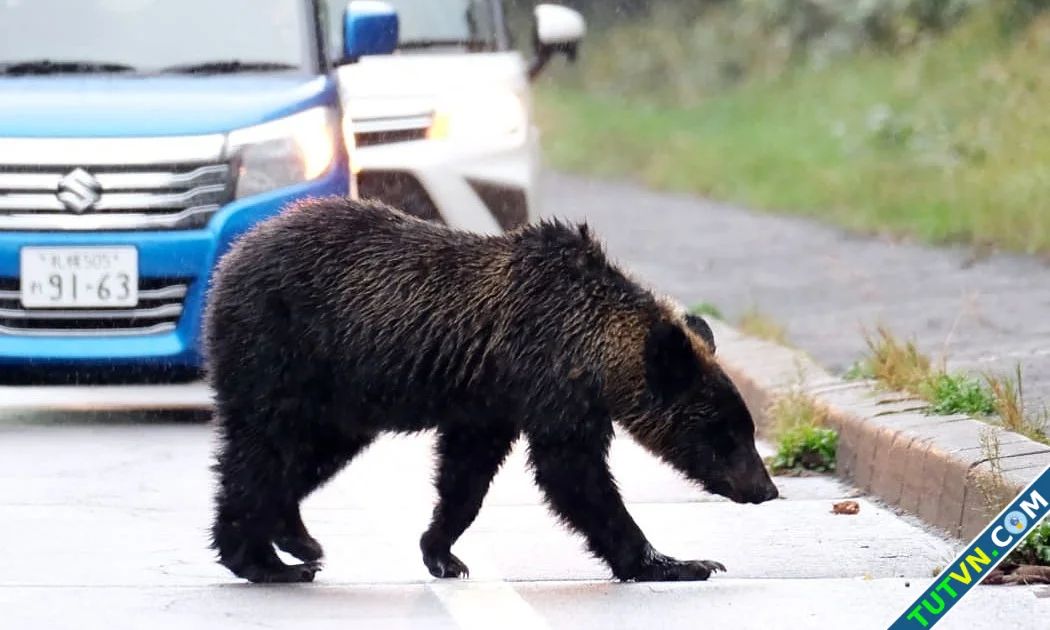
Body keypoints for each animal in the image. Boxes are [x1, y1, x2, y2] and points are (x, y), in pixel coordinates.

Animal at [204, 198, 781, 583]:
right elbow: (575, 477)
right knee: (260, 453)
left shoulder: (492, 399)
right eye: (727, 433)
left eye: (746, 427)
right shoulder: (547, 383)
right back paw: (263, 560)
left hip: (339, 399)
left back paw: (298, 538)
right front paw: (676, 561)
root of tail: (232, 256)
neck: (591, 346)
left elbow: (466, 476)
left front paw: (442, 551)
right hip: (280, 351)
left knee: (308, 455)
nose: (766, 489)